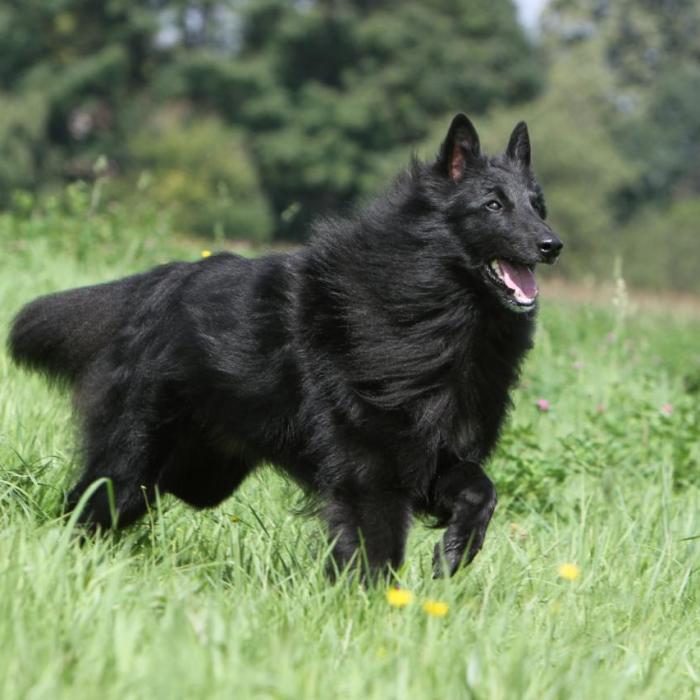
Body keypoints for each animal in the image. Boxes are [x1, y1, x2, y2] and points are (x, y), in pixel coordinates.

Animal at [8, 113, 560, 576]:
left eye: (538, 206)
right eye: (493, 205)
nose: (553, 245)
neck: (430, 308)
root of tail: (159, 283)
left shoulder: (431, 459)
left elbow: (481, 491)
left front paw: (454, 554)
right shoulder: (370, 471)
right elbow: (378, 551)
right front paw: (377, 610)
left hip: (197, 475)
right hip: (134, 464)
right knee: (85, 505)